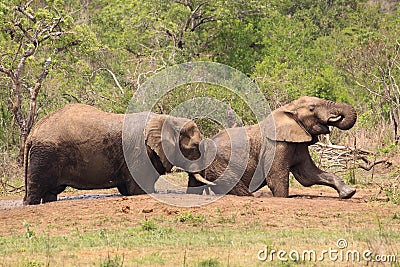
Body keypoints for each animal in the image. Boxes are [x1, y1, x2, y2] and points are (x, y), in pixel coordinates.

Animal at [23, 103, 211, 206]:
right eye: (194, 148)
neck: (167, 119)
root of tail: (32, 134)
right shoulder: (139, 154)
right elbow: (138, 190)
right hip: (45, 155)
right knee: (36, 191)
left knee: (50, 194)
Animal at [187, 97, 356, 200]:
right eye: (312, 108)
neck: (288, 108)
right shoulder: (276, 145)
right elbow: (276, 179)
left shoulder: (297, 144)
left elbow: (309, 175)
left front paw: (348, 193)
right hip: (219, 163)